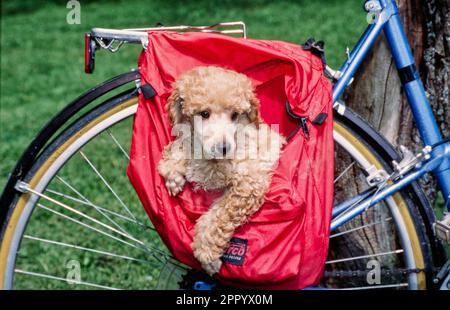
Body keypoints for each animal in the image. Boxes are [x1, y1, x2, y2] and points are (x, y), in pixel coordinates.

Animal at [158, 66, 284, 274]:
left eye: (235, 115)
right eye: (204, 113)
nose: (224, 148)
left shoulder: (249, 183)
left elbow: (219, 216)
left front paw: (207, 254)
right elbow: (181, 143)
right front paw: (173, 173)